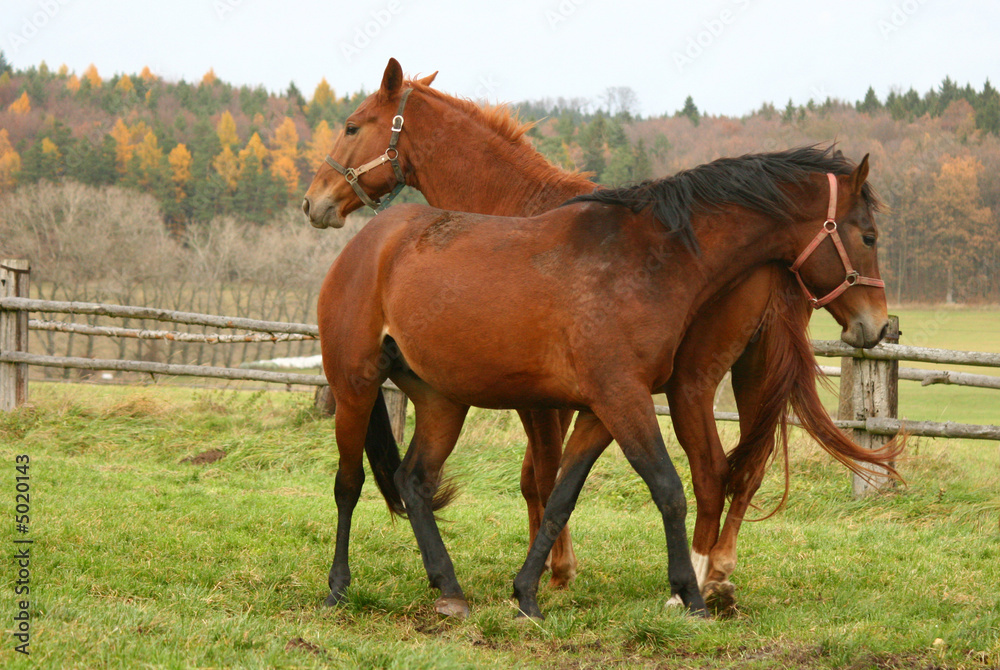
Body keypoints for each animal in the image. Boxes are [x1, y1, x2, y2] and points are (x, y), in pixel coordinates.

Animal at [302, 59, 901, 612]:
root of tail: (366, 246)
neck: (650, 254)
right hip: (357, 386)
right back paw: (338, 588)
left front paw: (531, 590)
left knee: (413, 481)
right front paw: (682, 593)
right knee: (349, 482)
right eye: (868, 235)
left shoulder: (600, 407)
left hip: (442, 400)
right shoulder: (612, 399)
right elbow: (657, 487)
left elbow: (561, 492)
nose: (315, 201)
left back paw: (450, 590)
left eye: (352, 127)